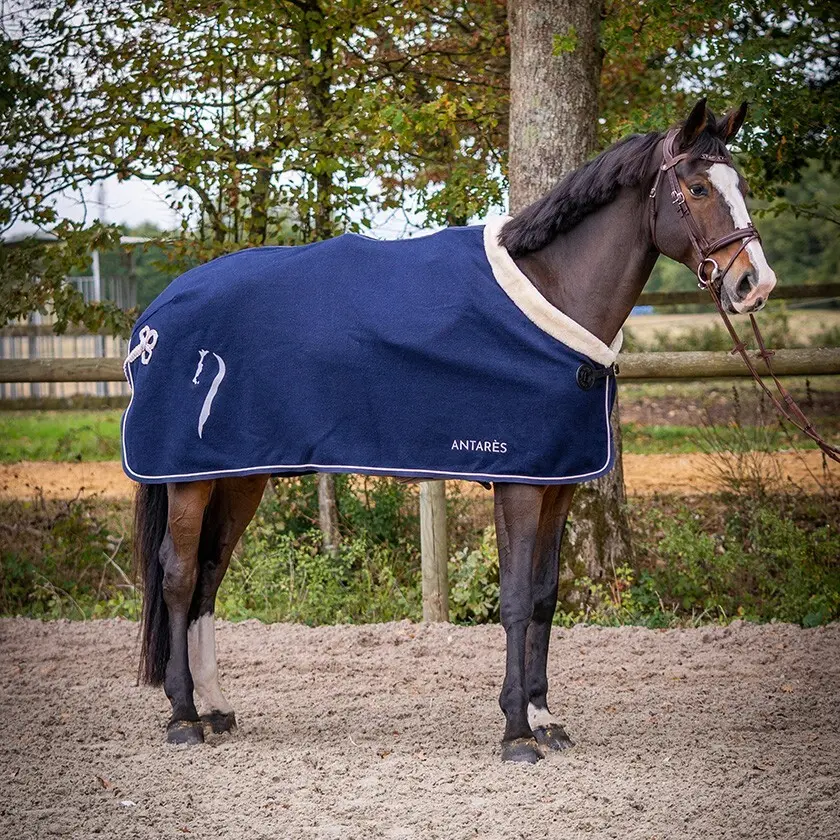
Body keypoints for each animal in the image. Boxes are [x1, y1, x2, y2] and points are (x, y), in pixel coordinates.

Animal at [129, 98, 777, 763]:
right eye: (698, 188)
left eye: (741, 186)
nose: (755, 284)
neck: (553, 293)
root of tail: (157, 313)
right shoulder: (519, 482)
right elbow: (514, 599)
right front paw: (516, 733)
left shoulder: (558, 482)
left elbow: (544, 595)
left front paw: (544, 718)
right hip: (187, 478)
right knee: (179, 577)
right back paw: (184, 717)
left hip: (237, 475)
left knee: (209, 574)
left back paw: (215, 708)